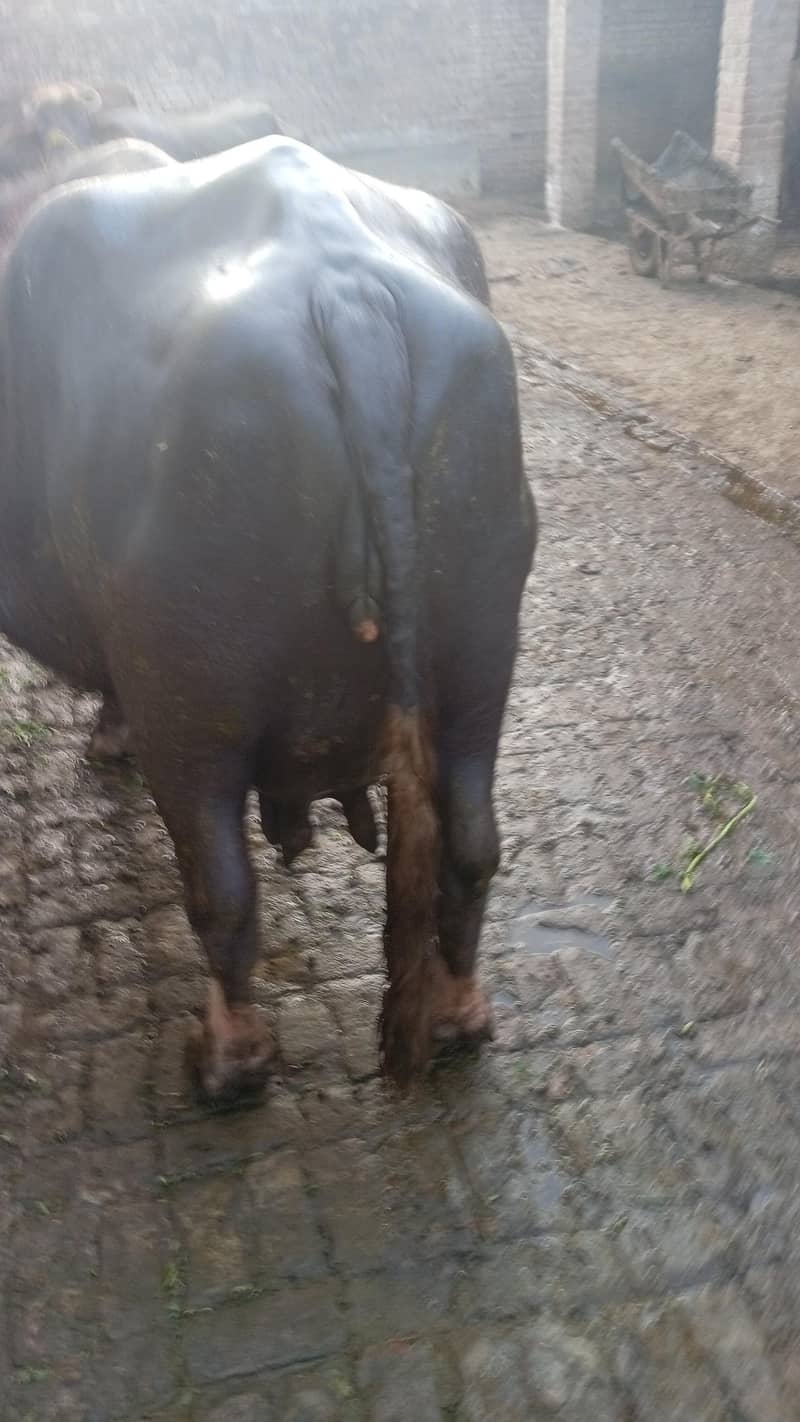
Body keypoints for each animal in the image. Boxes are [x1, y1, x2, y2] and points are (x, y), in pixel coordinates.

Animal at [0, 137, 535, 1100]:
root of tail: (346, 295)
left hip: (189, 693)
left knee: (220, 887)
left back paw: (226, 1060)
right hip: (482, 661)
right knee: (472, 843)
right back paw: (459, 1016)